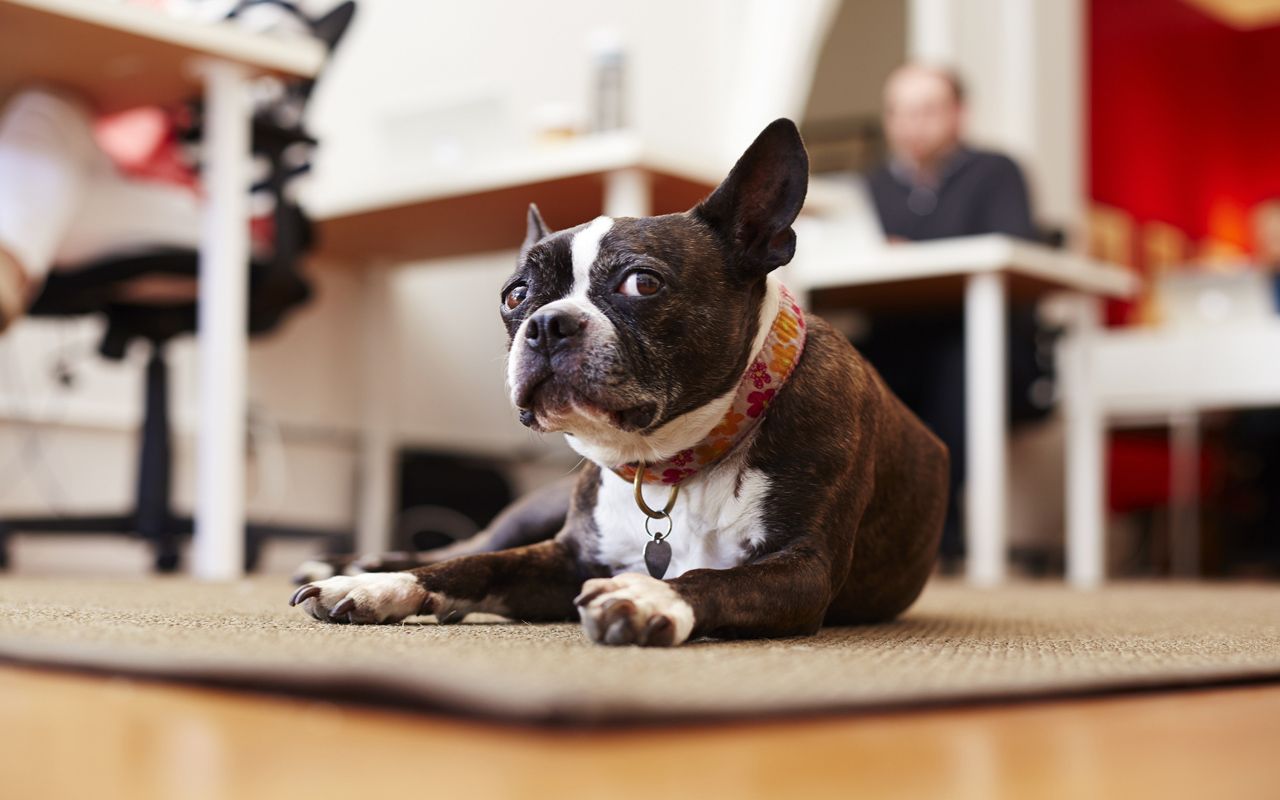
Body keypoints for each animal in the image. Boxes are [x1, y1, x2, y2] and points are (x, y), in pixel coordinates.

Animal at [293, 117, 952, 642]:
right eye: (515, 295)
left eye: (643, 283)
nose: (547, 324)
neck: (671, 465)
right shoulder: (564, 556)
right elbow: (476, 567)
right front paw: (382, 586)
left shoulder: (803, 570)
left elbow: (712, 578)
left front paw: (648, 592)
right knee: (466, 545)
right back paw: (351, 564)